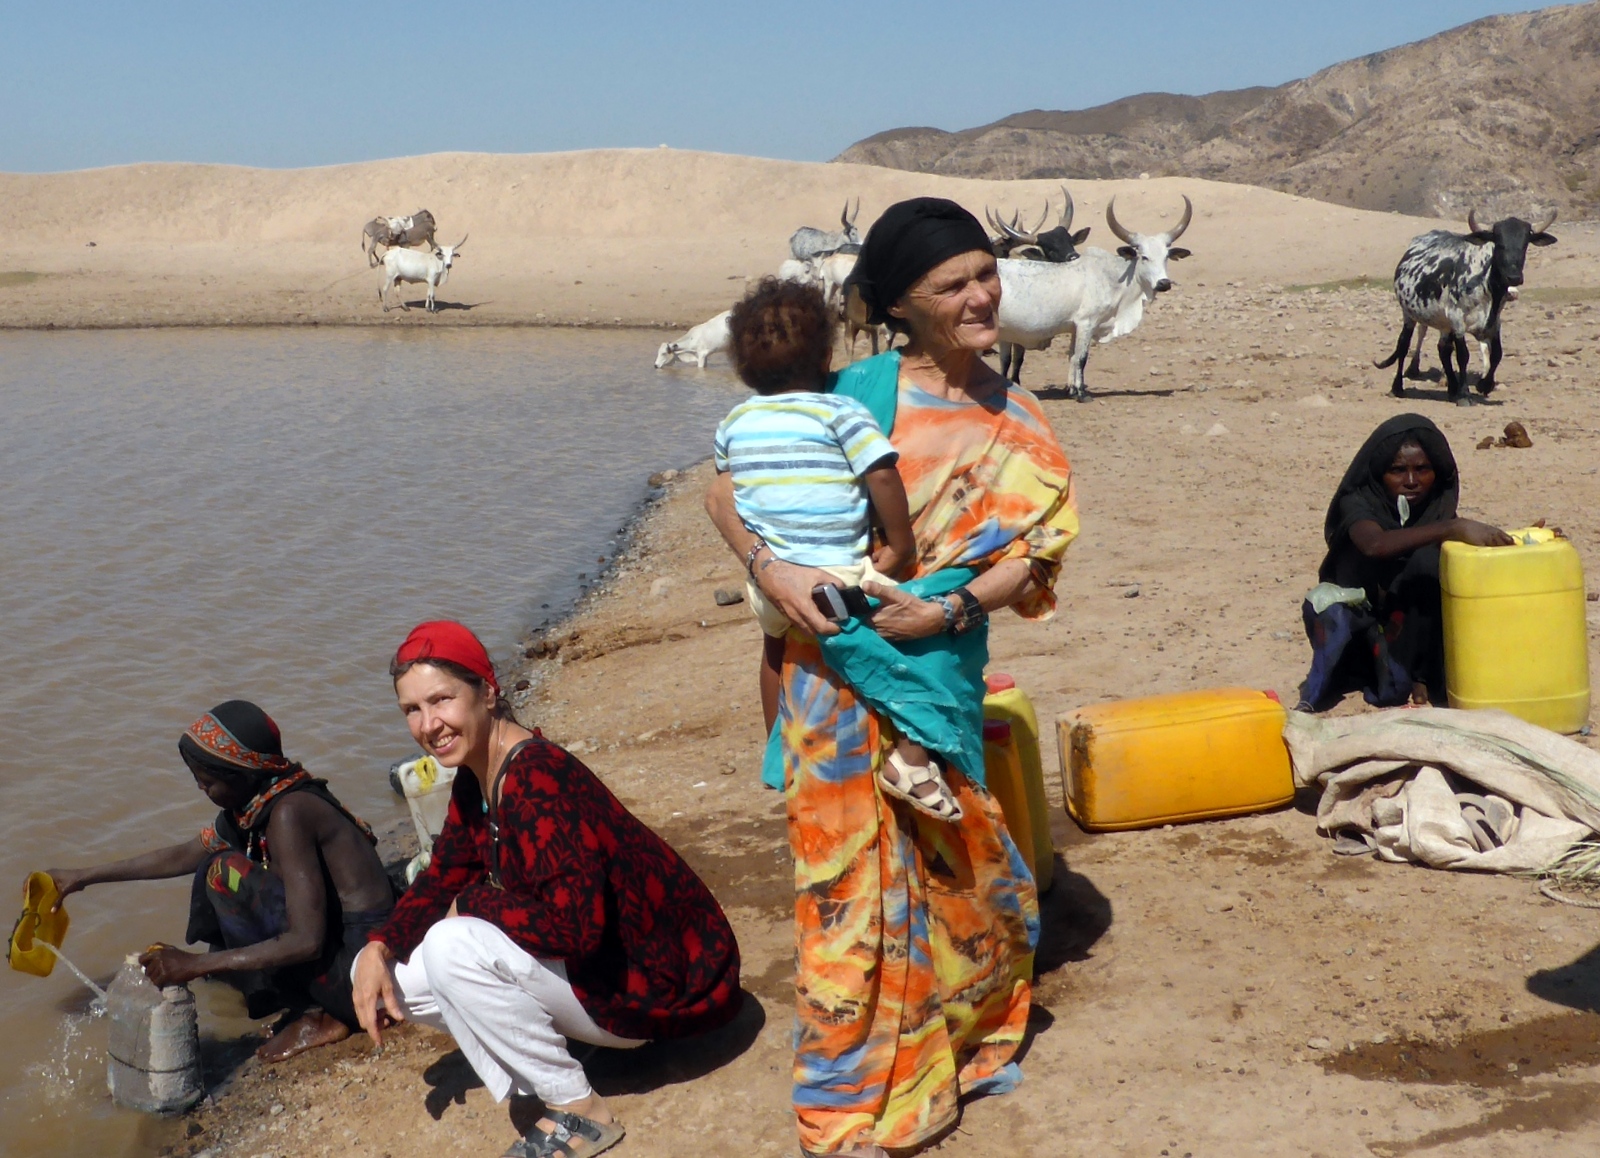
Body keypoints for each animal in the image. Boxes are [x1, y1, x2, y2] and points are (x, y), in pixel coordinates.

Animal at [992, 196, 1196, 399]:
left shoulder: (1075, 327)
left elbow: (1073, 356)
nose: (1164, 283)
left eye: (1166, 256)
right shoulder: (1086, 323)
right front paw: (1082, 393)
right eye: (1144, 257)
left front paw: (1072, 390)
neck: (1113, 277)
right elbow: (1082, 358)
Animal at [1369, 209, 1555, 407]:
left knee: (1443, 349)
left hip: (1443, 323)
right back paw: (1398, 387)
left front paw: (1484, 385)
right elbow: (1463, 355)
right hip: (1409, 315)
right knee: (1404, 345)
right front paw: (1465, 394)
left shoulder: (1493, 323)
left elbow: (1497, 354)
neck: (1486, 287)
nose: (1513, 277)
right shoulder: (1457, 320)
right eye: (1499, 242)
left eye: (1525, 244)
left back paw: (1452, 388)